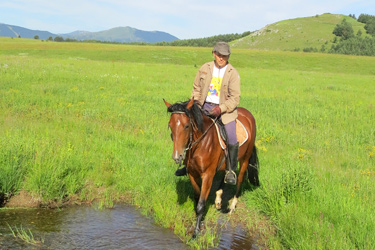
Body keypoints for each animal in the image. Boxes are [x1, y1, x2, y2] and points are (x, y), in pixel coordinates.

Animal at [163, 98, 260, 237]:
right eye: (170, 125)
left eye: (186, 126)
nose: (177, 156)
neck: (201, 143)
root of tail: (248, 114)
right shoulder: (192, 173)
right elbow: (197, 197)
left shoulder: (207, 175)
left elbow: (201, 203)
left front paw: (196, 232)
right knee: (226, 173)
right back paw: (219, 198)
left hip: (245, 159)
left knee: (240, 179)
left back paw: (232, 206)